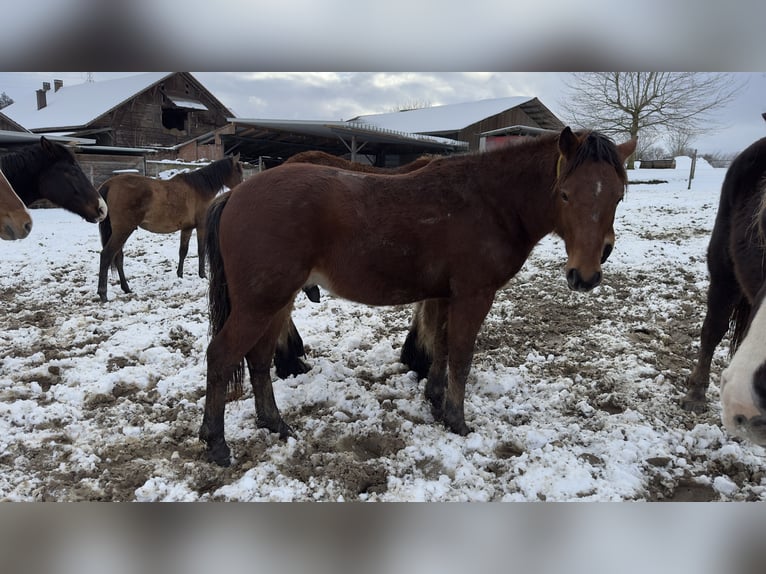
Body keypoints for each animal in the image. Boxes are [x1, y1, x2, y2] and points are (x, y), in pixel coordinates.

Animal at [96, 155, 242, 304]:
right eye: (239, 170)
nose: (240, 188)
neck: (199, 188)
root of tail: (110, 184)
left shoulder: (187, 228)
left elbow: (183, 251)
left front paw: (180, 274)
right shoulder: (201, 226)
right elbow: (200, 251)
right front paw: (202, 275)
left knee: (118, 257)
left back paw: (126, 288)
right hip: (123, 230)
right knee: (107, 255)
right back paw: (103, 294)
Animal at [198, 127, 636, 468]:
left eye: (617, 196)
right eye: (565, 195)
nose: (585, 275)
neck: (489, 201)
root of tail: (235, 194)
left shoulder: (444, 296)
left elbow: (440, 348)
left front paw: (436, 401)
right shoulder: (473, 296)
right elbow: (461, 356)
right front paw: (457, 420)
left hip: (274, 302)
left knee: (258, 359)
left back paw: (275, 423)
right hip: (260, 304)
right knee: (221, 356)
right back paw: (216, 443)